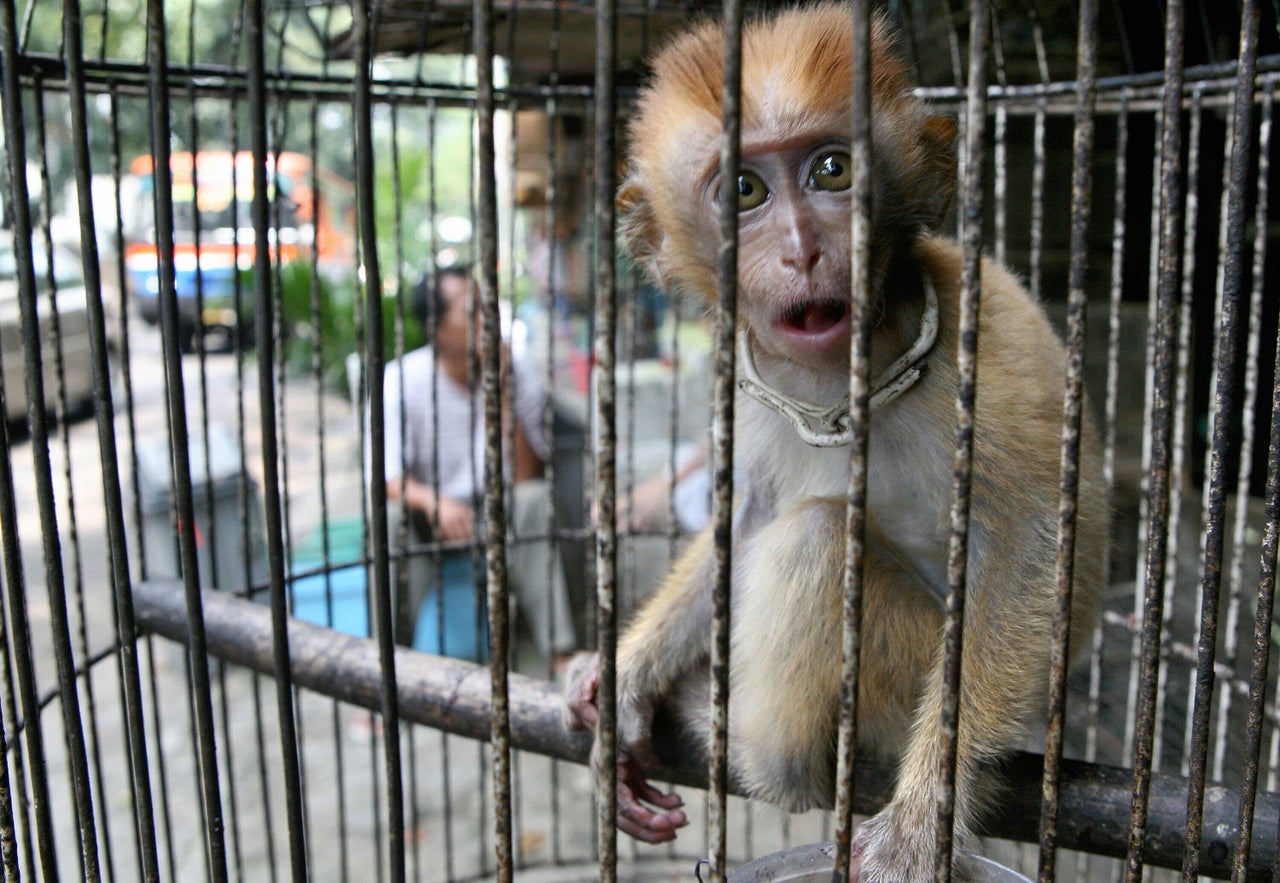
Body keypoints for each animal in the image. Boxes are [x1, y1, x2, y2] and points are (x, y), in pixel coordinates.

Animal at [565, 3, 1105, 875]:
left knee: (817, 536)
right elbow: (744, 516)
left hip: (901, 669)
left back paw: (760, 747)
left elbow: (1035, 547)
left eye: (832, 171)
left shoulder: (991, 337)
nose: (803, 248)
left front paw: (926, 812)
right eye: (744, 189)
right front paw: (626, 674)